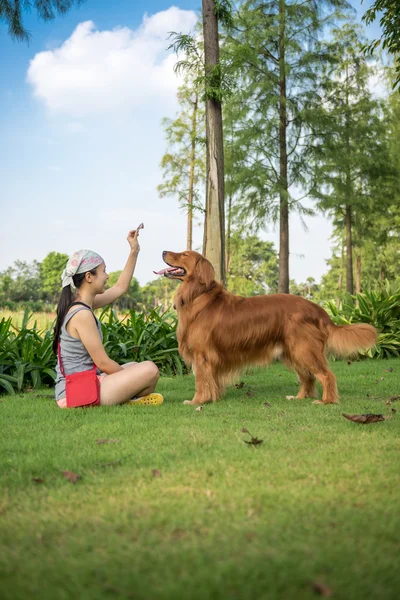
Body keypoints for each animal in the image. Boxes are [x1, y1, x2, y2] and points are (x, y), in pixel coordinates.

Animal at [155, 251, 376, 406]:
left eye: (184, 254)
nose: (164, 251)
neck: (198, 295)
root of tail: (319, 309)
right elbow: (211, 382)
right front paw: (212, 398)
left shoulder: (203, 356)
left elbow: (201, 382)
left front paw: (198, 401)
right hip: (293, 351)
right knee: (307, 377)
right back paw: (299, 397)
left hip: (303, 349)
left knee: (326, 375)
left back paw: (326, 401)